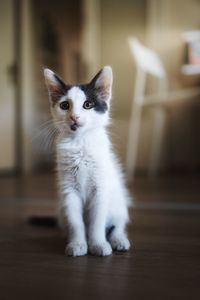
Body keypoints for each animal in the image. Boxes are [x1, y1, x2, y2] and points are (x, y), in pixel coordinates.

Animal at [44, 66, 131, 255]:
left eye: (88, 105)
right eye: (64, 105)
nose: (74, 117)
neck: (80, 142)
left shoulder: (100, 189)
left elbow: (96, 222)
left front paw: (98, 244)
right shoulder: (69, 191)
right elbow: (76, 222)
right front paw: (77, 244)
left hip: (119, 203)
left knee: (118, 225)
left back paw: (119, 240)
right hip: (61, 210)